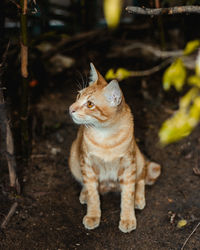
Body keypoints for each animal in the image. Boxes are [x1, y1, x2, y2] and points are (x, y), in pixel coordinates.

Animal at [69, 62, 161, 232]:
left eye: (90, 104)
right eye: (78, 96)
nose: (71, 109)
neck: (105, 137)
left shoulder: (129, 165)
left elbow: (128, 195)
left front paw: (128, 218)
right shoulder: (86, 163)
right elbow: (93, 193)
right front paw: (93, 215)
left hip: (139, 159)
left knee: (142, 177)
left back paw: (138, 198)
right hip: (74, 159)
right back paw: (84, 193)